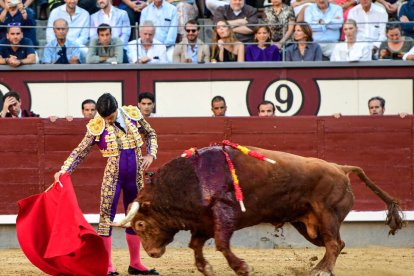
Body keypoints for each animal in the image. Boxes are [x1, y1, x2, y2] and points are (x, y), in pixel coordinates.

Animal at [115, 146, 402, 274]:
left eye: (140, 225)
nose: (152, 253)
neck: (190, 179)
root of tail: (341, 168)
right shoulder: (203, 222)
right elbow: (196, 246)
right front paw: (205, 268)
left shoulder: (224, 215)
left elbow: (221, 244)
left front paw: (241, 267)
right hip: (309, 226)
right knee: (336, 244)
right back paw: (318, 266)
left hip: (327, 215)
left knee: (334, 243)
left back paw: (321, 270)